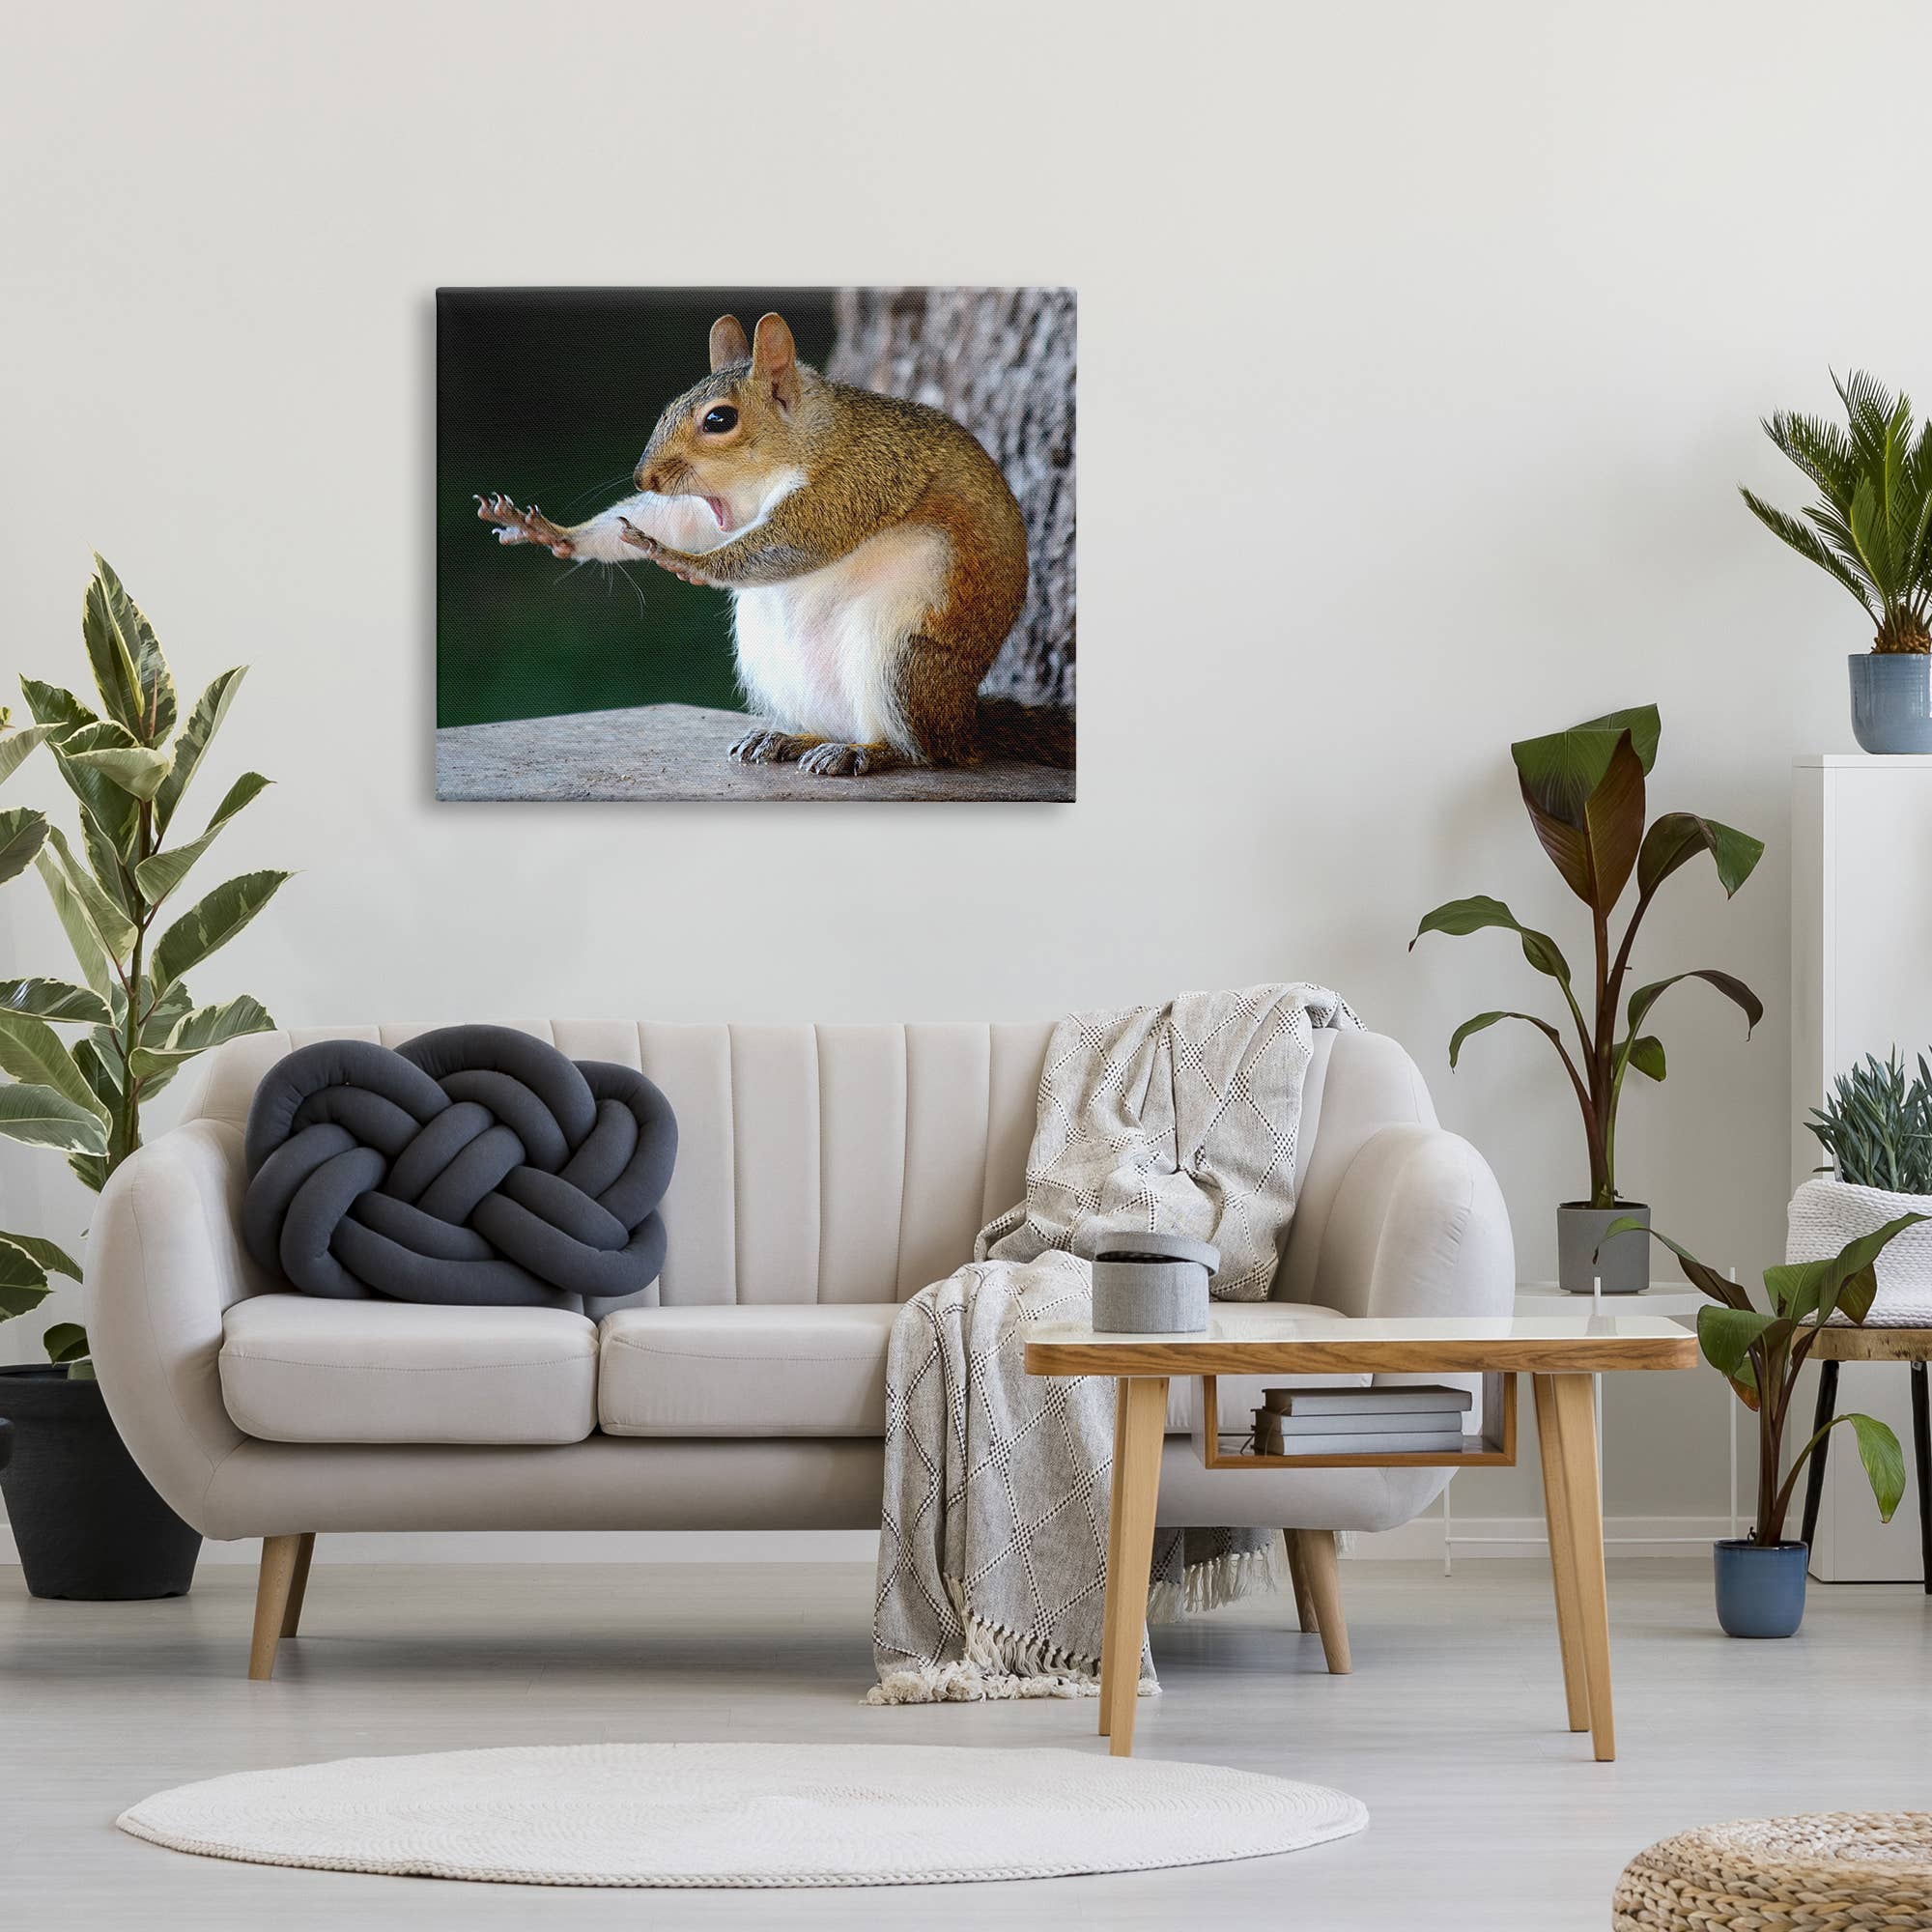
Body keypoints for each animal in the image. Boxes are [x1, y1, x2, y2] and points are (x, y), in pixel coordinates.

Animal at [476, 311, 1072, 776]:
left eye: (720, 419)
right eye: (670, 406)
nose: (645, 478)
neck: (807, 439)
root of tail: (963, 723)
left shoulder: (858, 481)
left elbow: (796, 541)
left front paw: (682, 559)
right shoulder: (711, 508)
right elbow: (676, 520)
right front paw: (552, 532)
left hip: (902, 660)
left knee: (921, 750)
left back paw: (867, 753)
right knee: (831, 724)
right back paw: (790, 737)